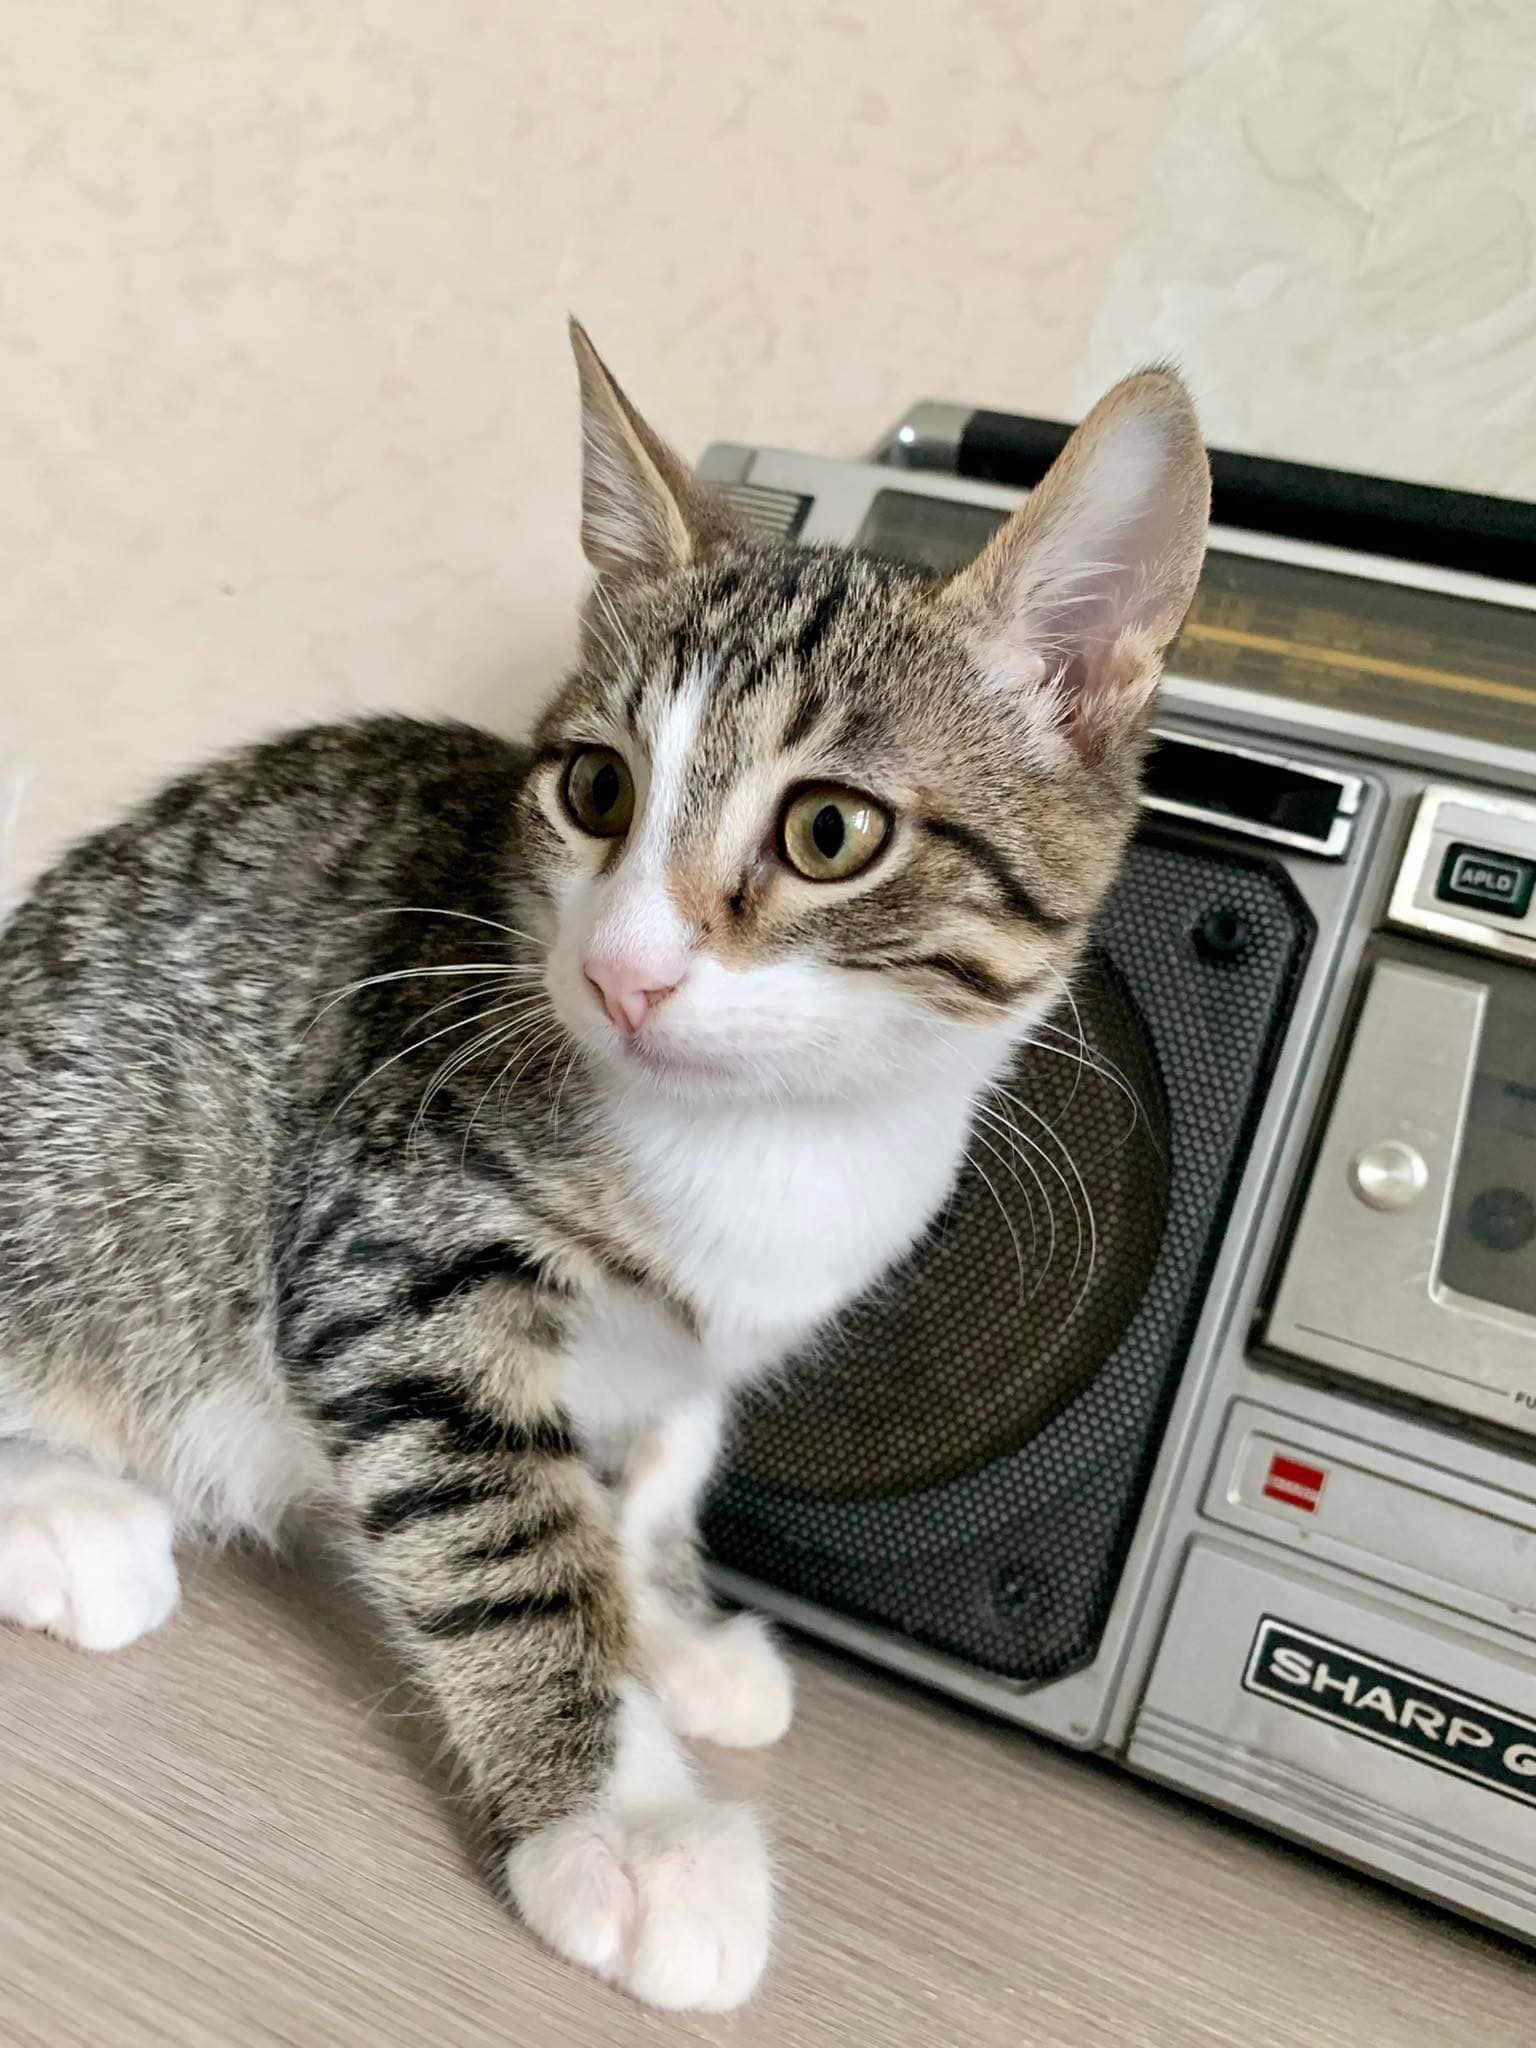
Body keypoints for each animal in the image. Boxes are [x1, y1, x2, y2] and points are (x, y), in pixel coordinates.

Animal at [0, 323, 1208, 2010]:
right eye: (595, 791)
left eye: (830, 833)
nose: (624, 971)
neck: (779, 1141)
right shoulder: (385, 1245)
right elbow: (506, 1532)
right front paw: (627, 1827)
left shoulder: (708, 1341)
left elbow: (658, 1462)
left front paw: (668, 1626)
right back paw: (66, 1515)